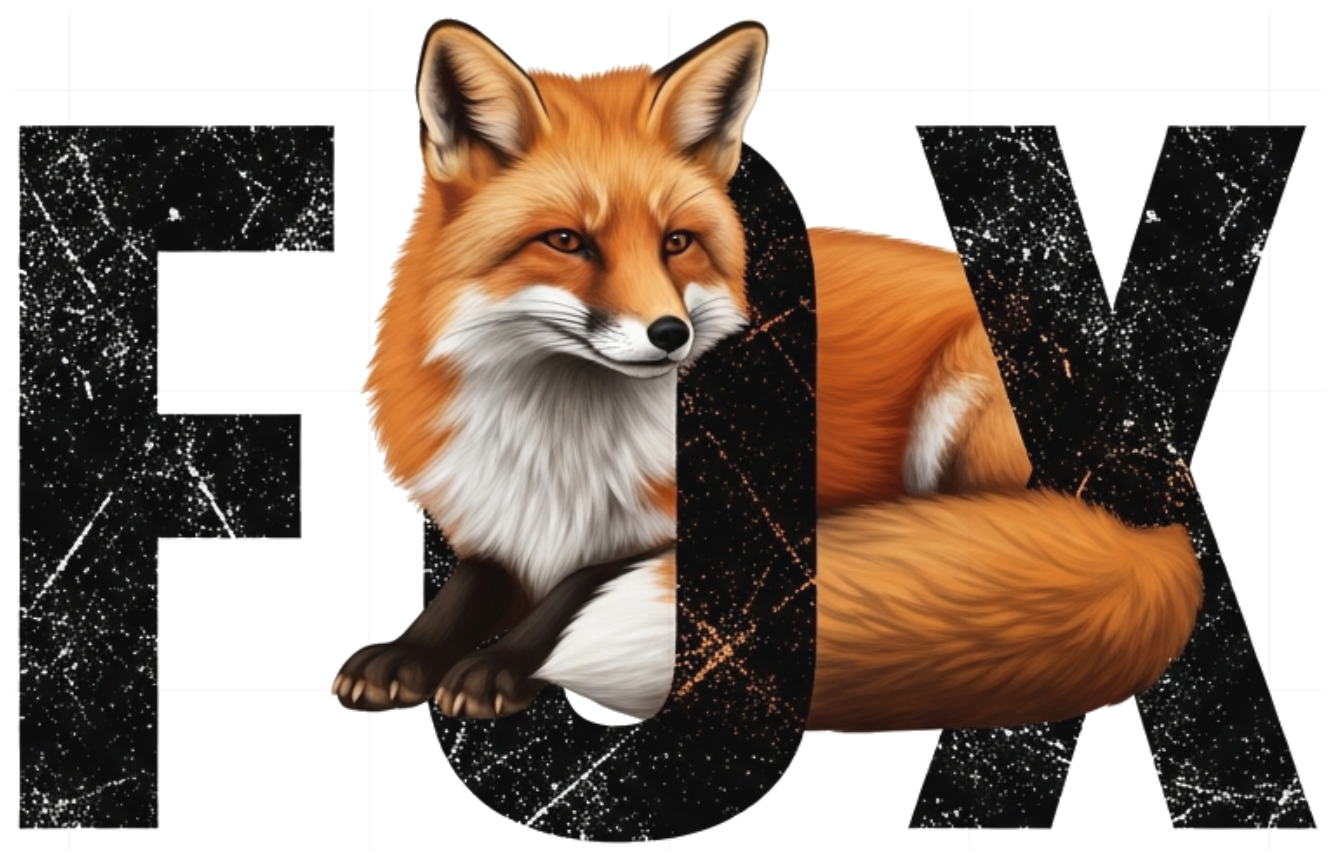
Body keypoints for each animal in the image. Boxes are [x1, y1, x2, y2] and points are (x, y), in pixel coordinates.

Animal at [330, 17, 1204, 732]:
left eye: (676, 242)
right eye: (567, 242)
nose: (670, 335)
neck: (563, 442)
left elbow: (576, 587)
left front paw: (502, 665)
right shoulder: (500, 526)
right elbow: (463, 591)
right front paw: (404, 652)